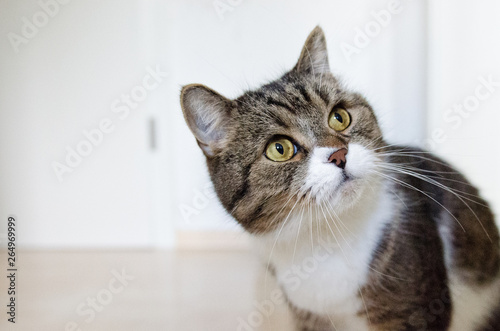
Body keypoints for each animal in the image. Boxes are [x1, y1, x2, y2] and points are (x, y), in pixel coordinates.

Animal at [180, 26, 500, 331]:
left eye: (339, 117)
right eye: (279, 149)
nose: (340, 154)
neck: (325, 240)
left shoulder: (415, 311)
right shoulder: (310, 316)